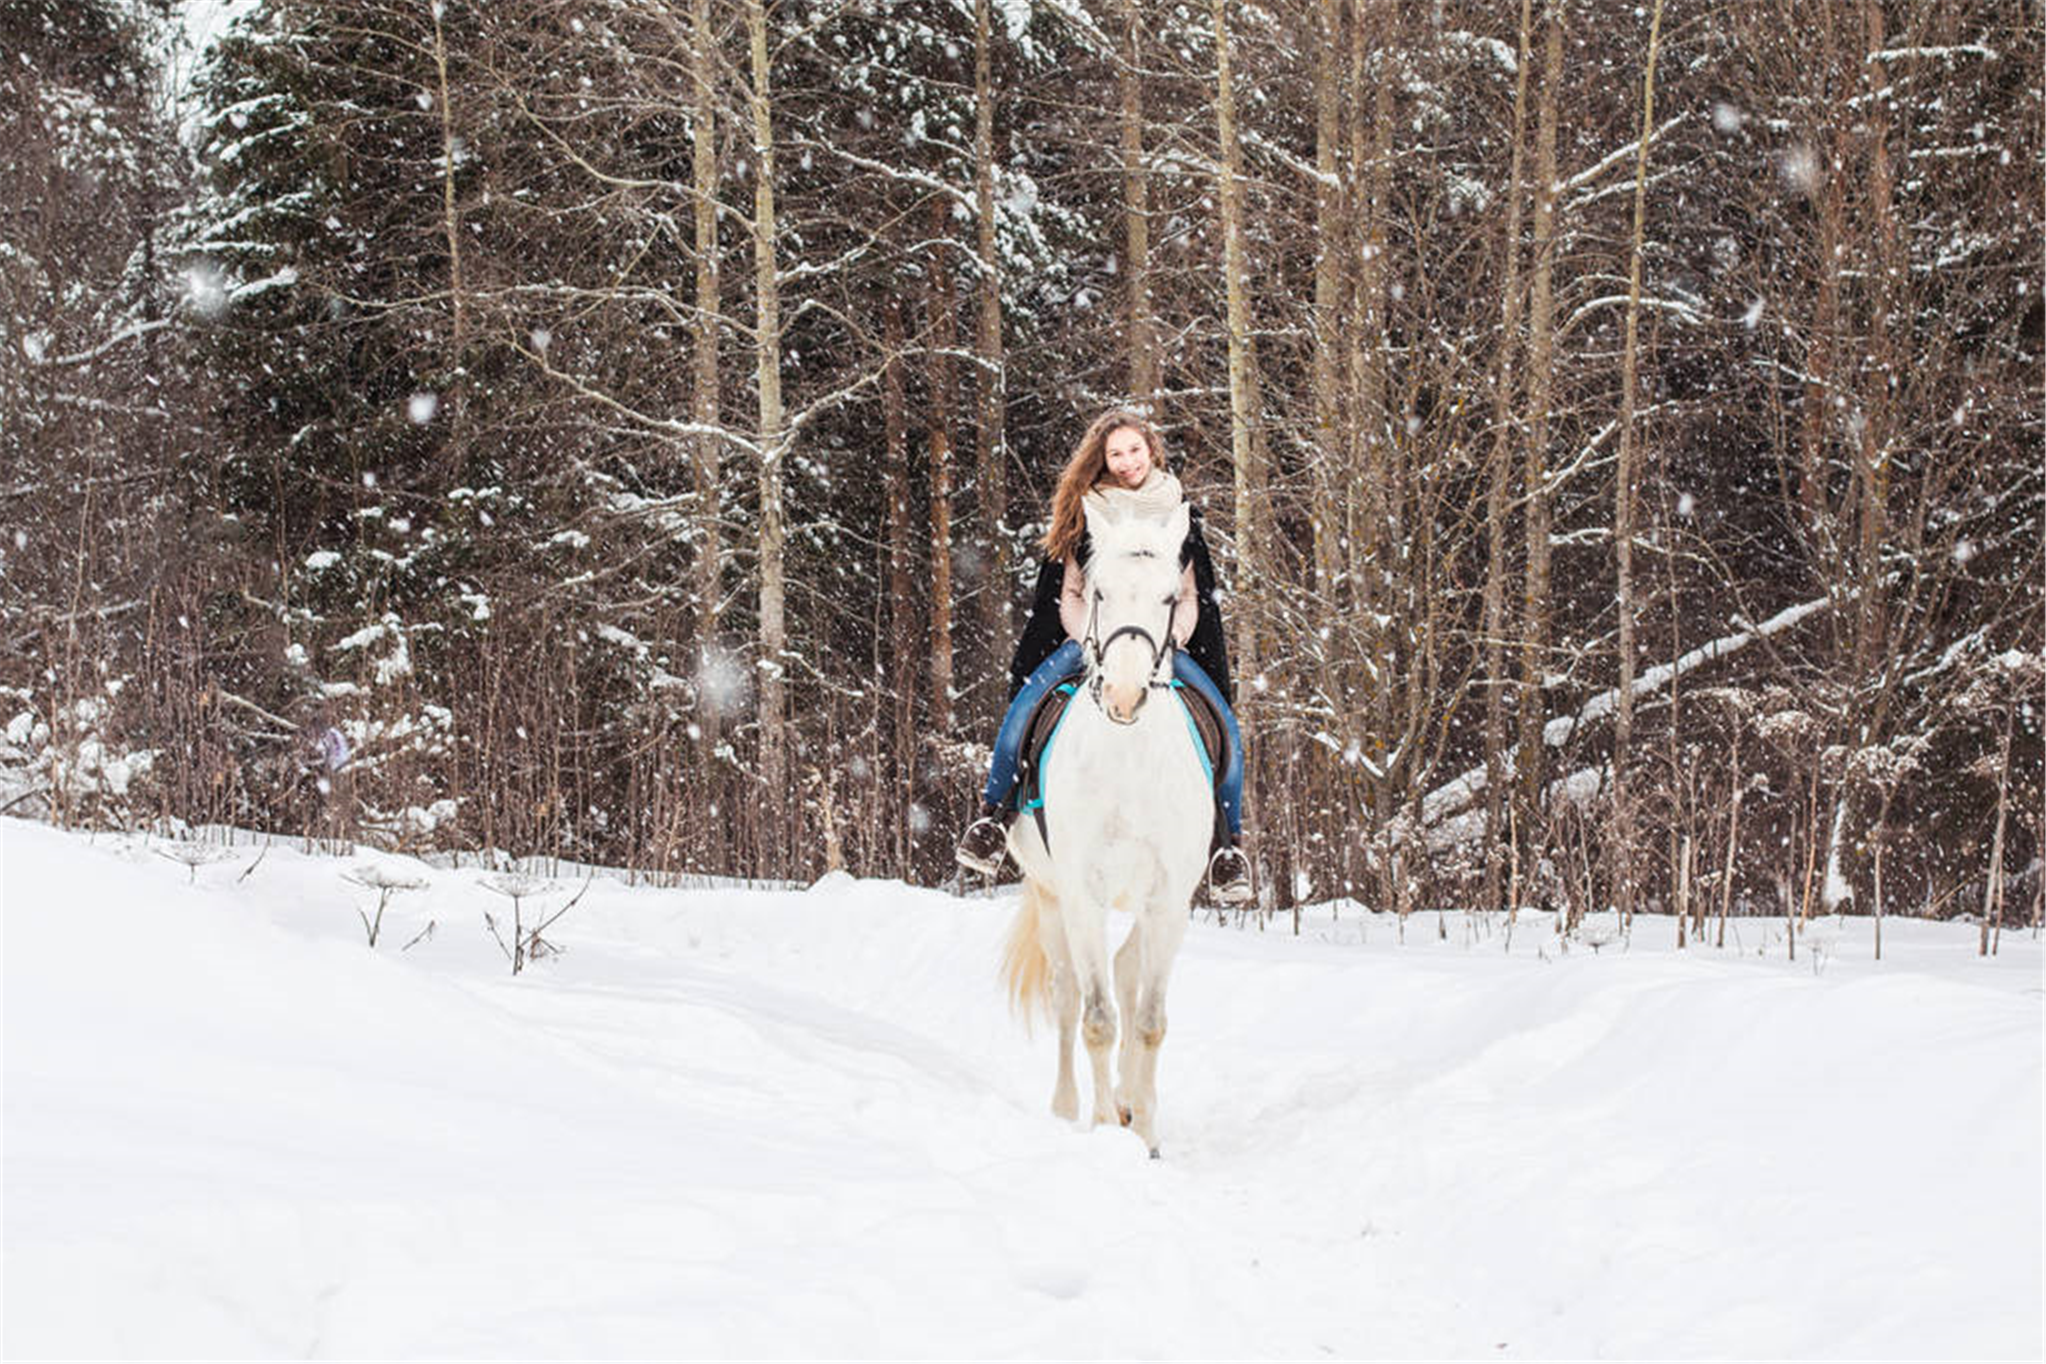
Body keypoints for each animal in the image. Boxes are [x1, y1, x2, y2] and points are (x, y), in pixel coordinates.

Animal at [1002, 496, 1211, 1161]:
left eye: (1170, 596)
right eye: (1099, 592)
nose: (1122, 694)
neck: (1129, 761)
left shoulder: (1169, 902)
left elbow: (1148, 1022)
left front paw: (1144, 1135)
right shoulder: (1083, 896)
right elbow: (1096, 1019)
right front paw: (1098, 1130)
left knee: (1125, 974)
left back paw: (1126, 1102)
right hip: (1051, 899)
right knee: (1068, 998)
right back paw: (1070, 1108)